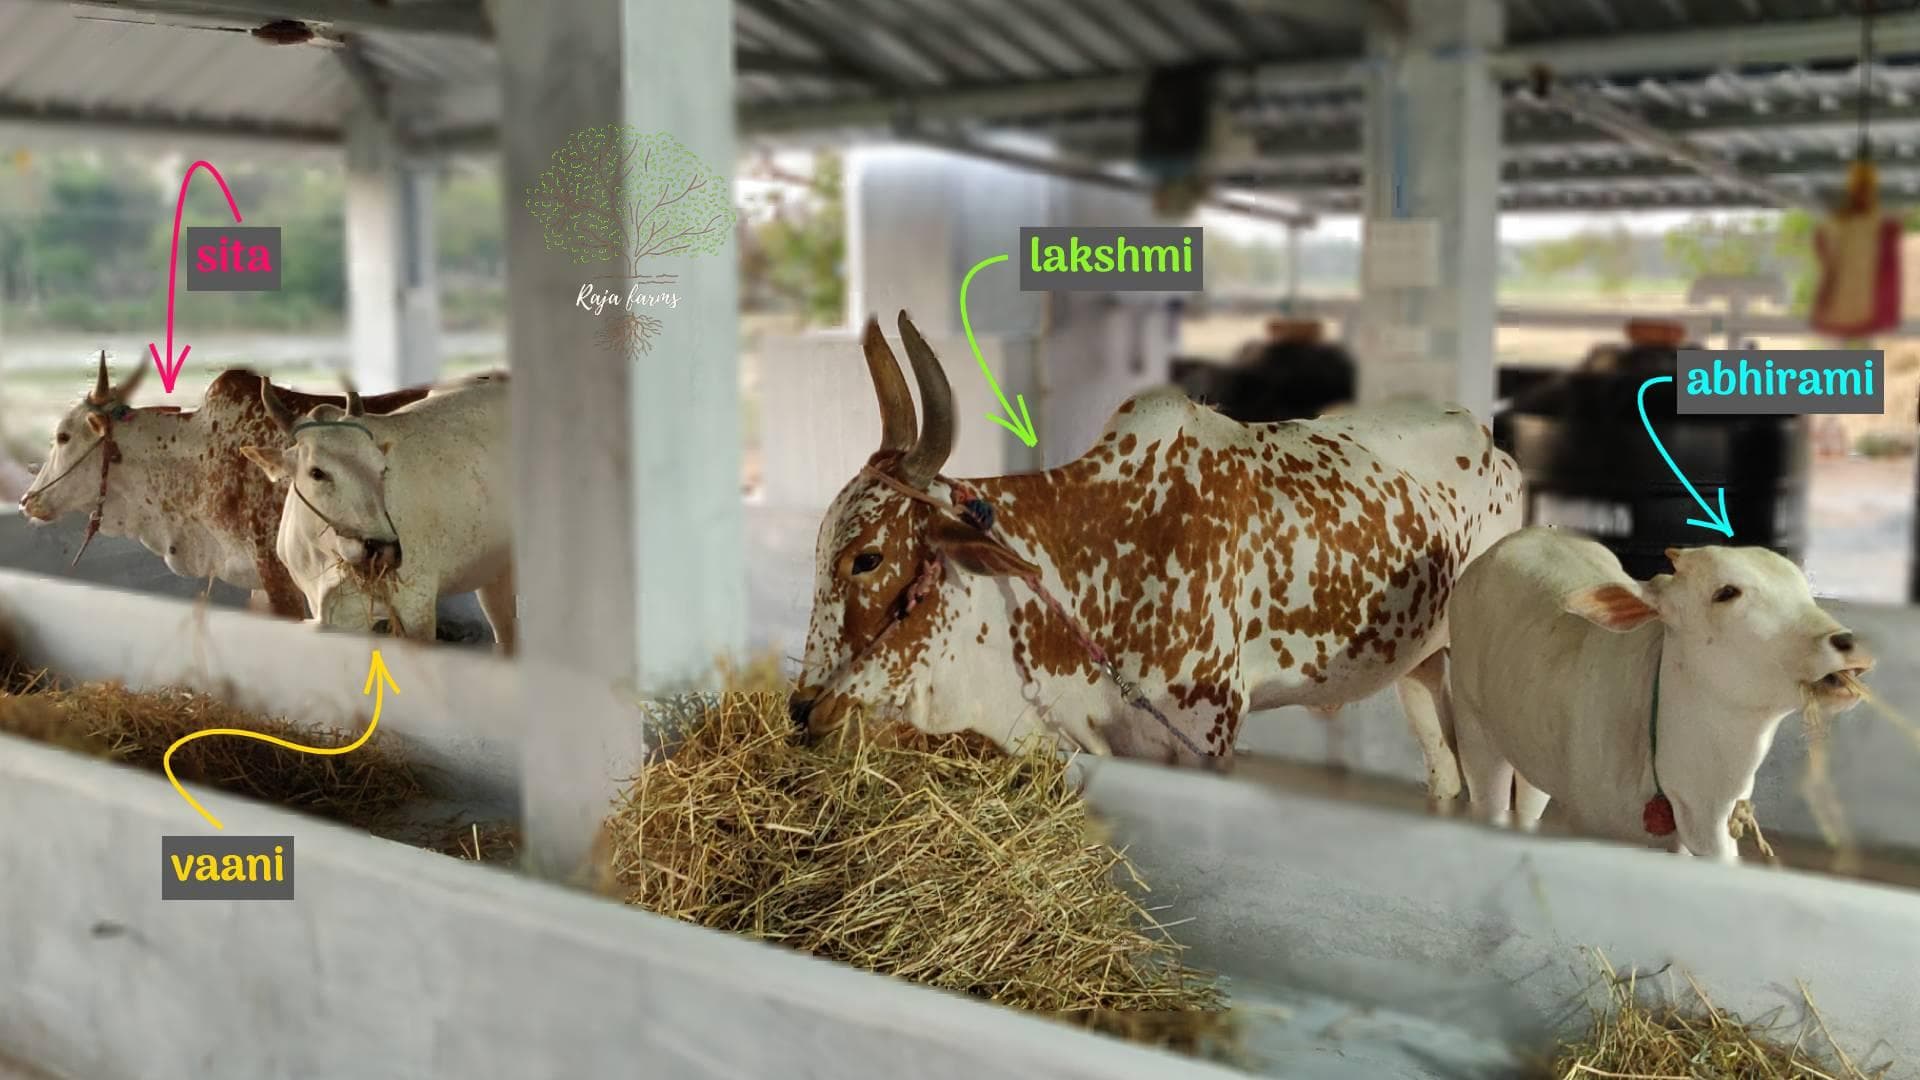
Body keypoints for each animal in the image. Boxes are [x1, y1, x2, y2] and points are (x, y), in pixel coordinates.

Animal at [787, 311, 1523, 792]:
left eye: (867, 557)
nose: (802, 709)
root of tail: (1491, 440)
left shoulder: (1207, 736)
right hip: (1418, 670)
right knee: (1445, 779)